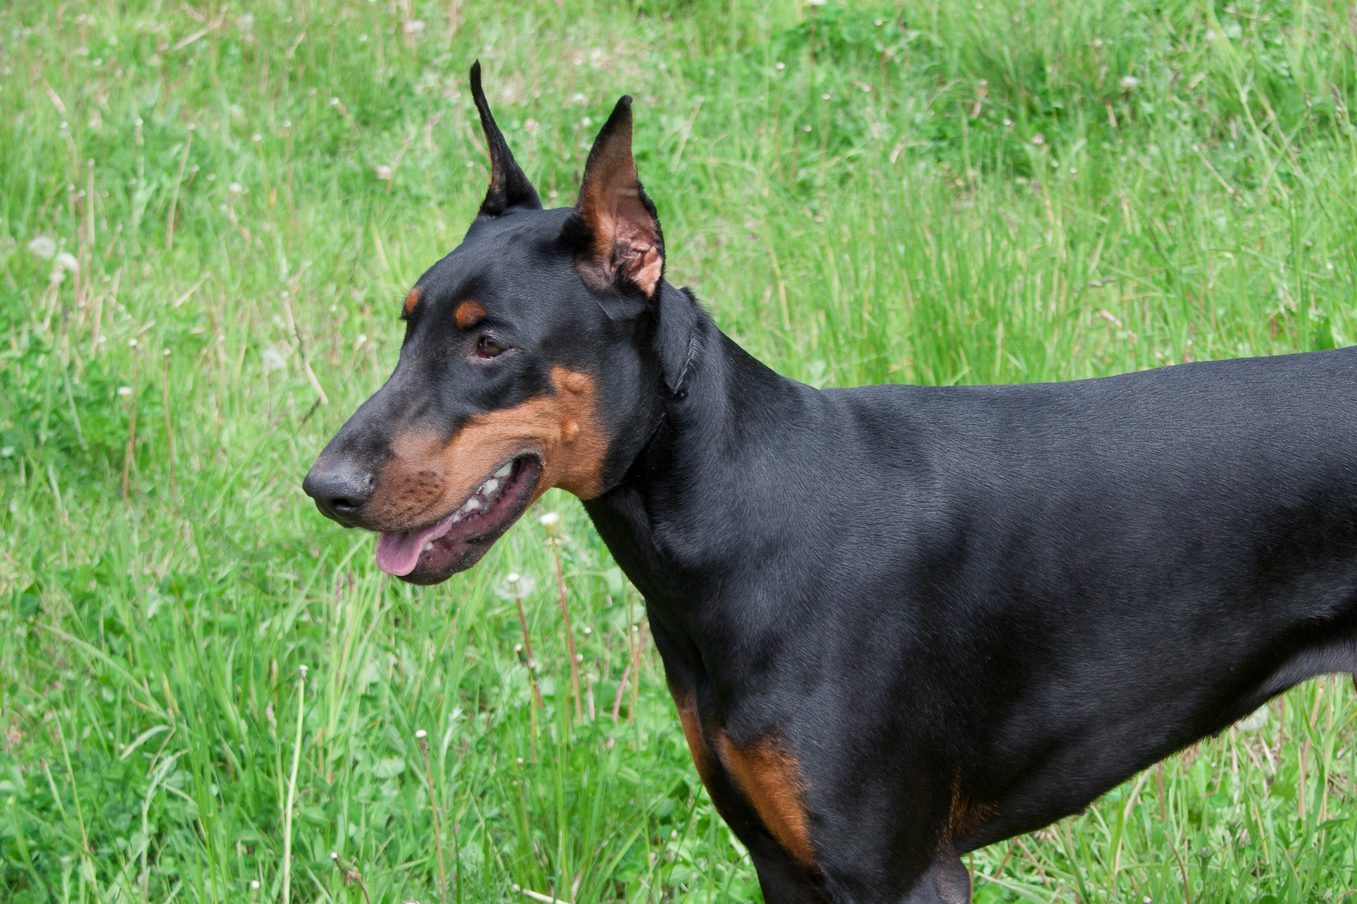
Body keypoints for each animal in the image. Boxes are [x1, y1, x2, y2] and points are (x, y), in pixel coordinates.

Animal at [308, 66, 1357, 895]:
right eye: (407, 322)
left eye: (489, 344)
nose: (324, 487)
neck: (740, 512)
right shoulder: (780, 858)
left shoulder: (900, 870)